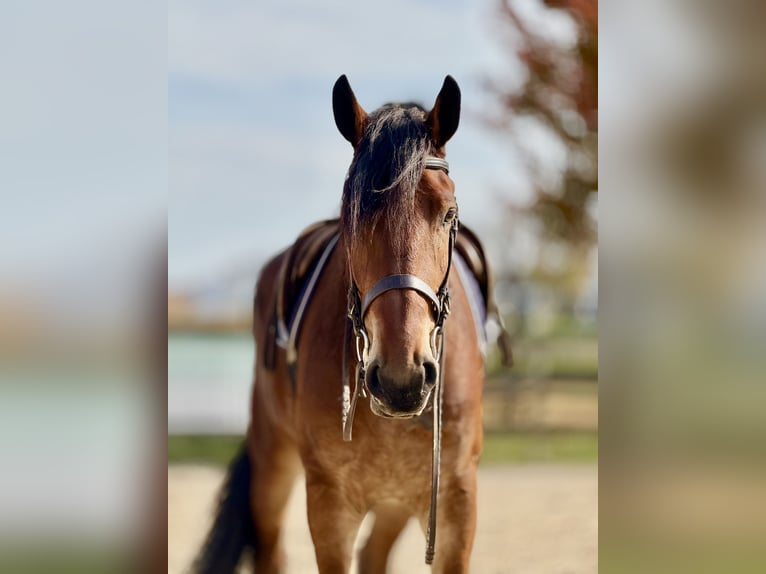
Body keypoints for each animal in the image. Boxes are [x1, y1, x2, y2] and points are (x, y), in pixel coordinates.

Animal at [193, 75, 506, 574]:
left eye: (449, 214)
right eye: (352, 218)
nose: (401, 379)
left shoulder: (456, 503)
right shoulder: (329, 506)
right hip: (272, 463)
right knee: (271, 547)